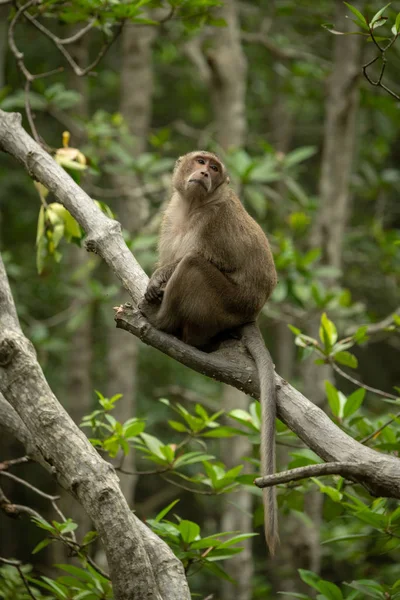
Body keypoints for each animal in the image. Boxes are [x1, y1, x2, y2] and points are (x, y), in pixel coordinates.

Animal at [140, 152, 278, 556]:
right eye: (201, 161)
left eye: (214, 168)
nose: (203, 172)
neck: (193, 207)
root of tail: (251, 314)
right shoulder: (170, 215)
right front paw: (154, 279)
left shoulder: (216, 224)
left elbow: (205, 260)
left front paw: (160, 280)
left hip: (225, 304)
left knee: (193, 267)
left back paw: (167, 324)